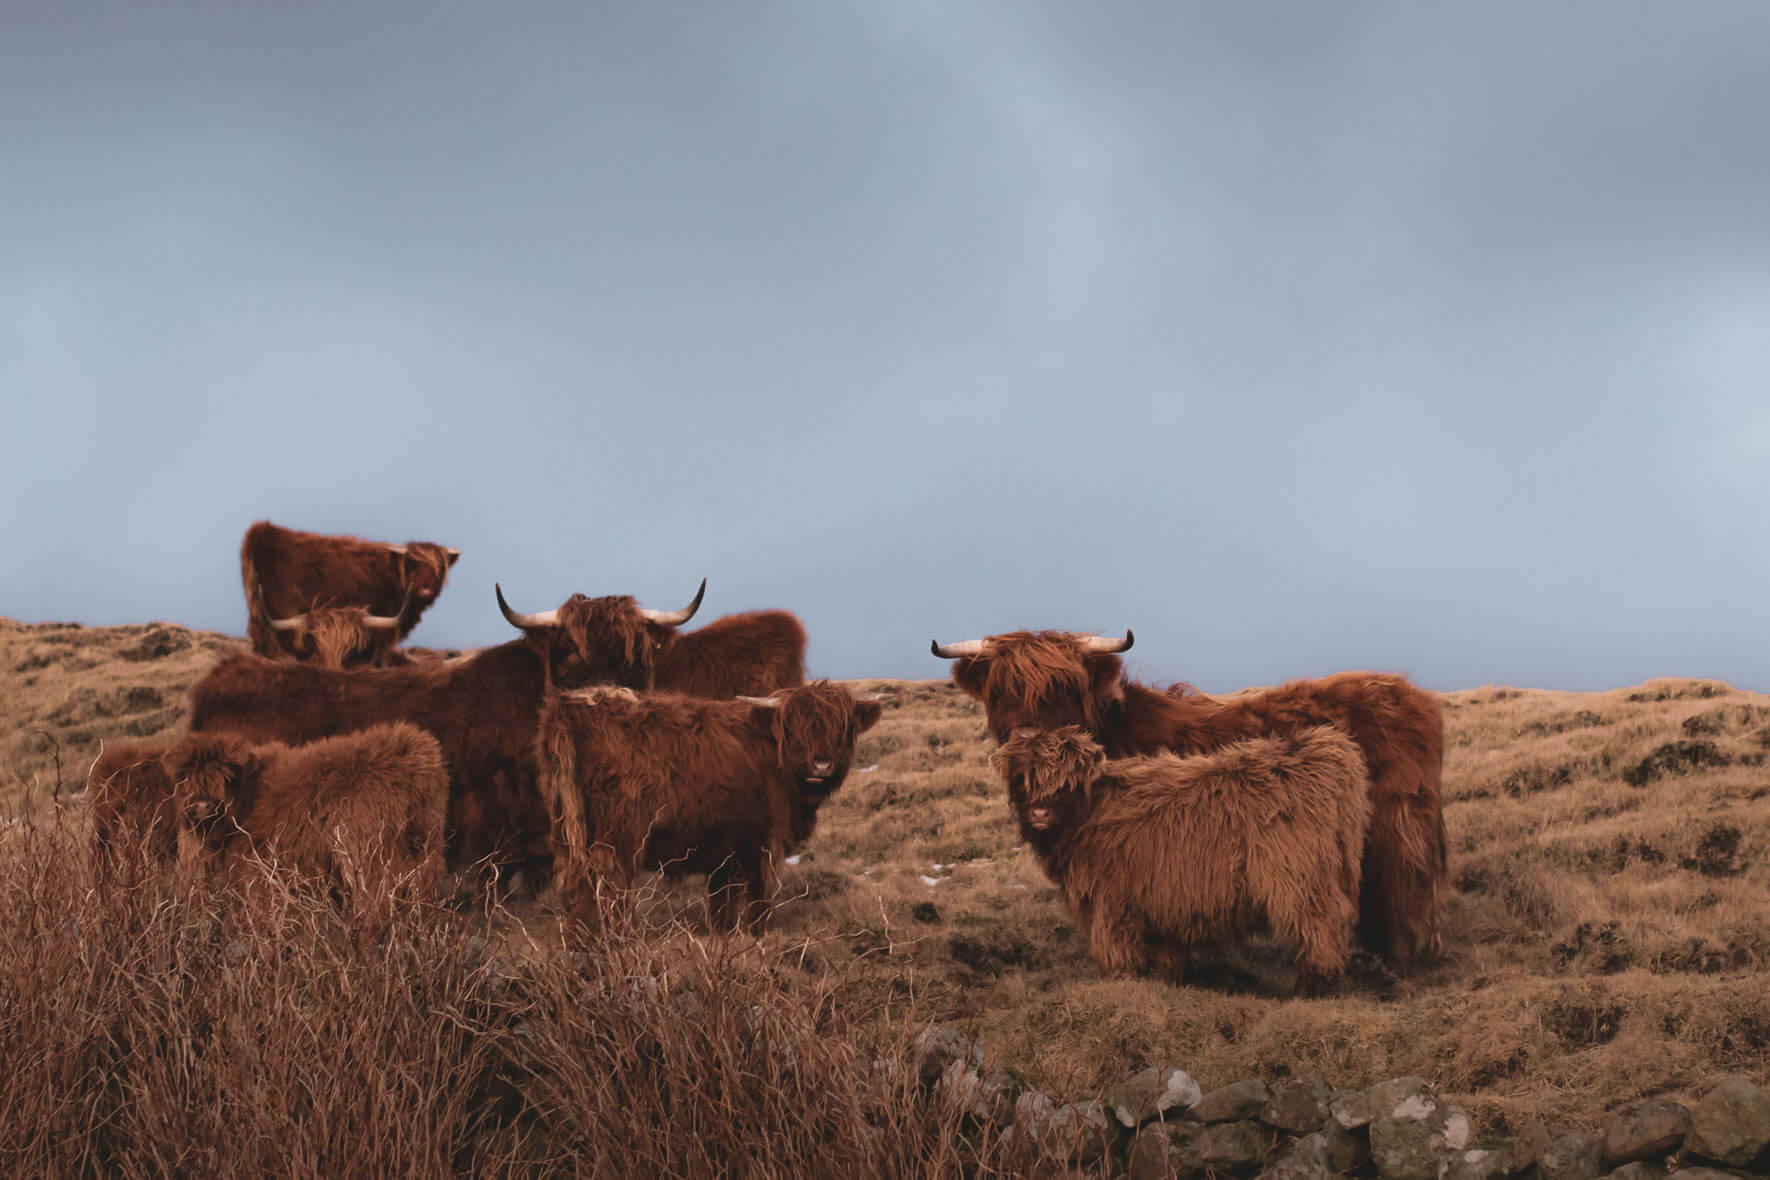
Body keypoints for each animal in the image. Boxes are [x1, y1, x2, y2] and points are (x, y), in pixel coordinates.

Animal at [536, 681, 882, 932]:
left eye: (841, 727)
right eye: (793, 727)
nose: (821, 764)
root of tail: (571, 705)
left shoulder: (722, 850)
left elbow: (721, 903)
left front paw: (723, 934)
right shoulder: (760, 843)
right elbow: (759, 894)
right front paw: (758, 933)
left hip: (566, 827)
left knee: (574, 885)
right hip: (615, 837)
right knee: (608, 887)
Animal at [990, 725, 1370, 993]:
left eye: (1066, 784)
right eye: (1021, 779)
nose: (1040, 813)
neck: (1089, 813)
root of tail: (1321, 749)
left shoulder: (1112, 901)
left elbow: (1115, 949)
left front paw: (1120, 981)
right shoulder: (1157, 901)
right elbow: (1164, 952)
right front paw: (1167, 978)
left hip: (1299, 879)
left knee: (1321, 924)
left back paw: (1315, 985)